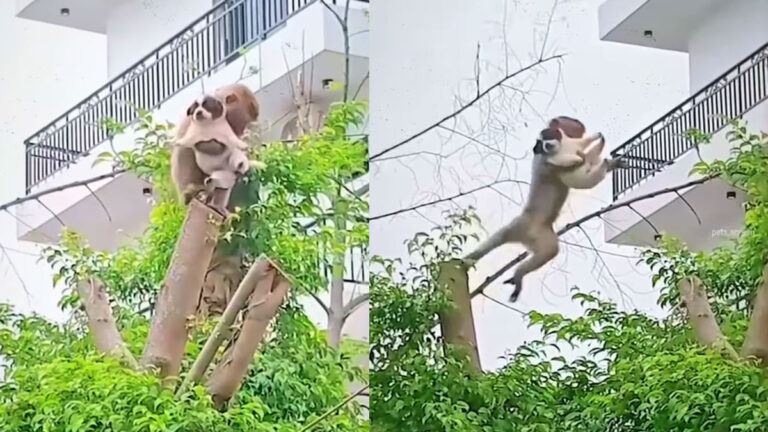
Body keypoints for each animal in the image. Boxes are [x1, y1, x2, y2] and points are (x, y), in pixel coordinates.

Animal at [462, 116, 624, 302]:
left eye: (545, 140)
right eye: (539, 143)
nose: (542, 146)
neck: (561, 148)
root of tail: (526, 228)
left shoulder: (570, 145)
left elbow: (586, 153)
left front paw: (600, 143)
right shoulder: (548, 163)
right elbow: (579, 177)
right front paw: (600, 163)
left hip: (522, 228)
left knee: (499, 238)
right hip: (534, 231)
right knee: (549, 250)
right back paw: (519, 274)